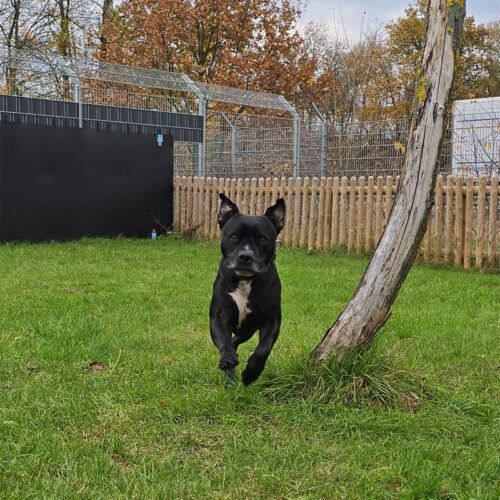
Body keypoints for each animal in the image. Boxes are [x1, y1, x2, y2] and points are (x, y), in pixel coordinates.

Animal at [209, 194, 285, 386]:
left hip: (247, 330)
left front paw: (251, 373)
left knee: (237, 340)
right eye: (234, 236)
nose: (245, 256)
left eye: (263, 238)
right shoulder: (219, 316)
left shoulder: (271, 320)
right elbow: (223, 340)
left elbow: (264, 348)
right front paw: (228, 360)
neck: (245, 281)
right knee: (231, 341)